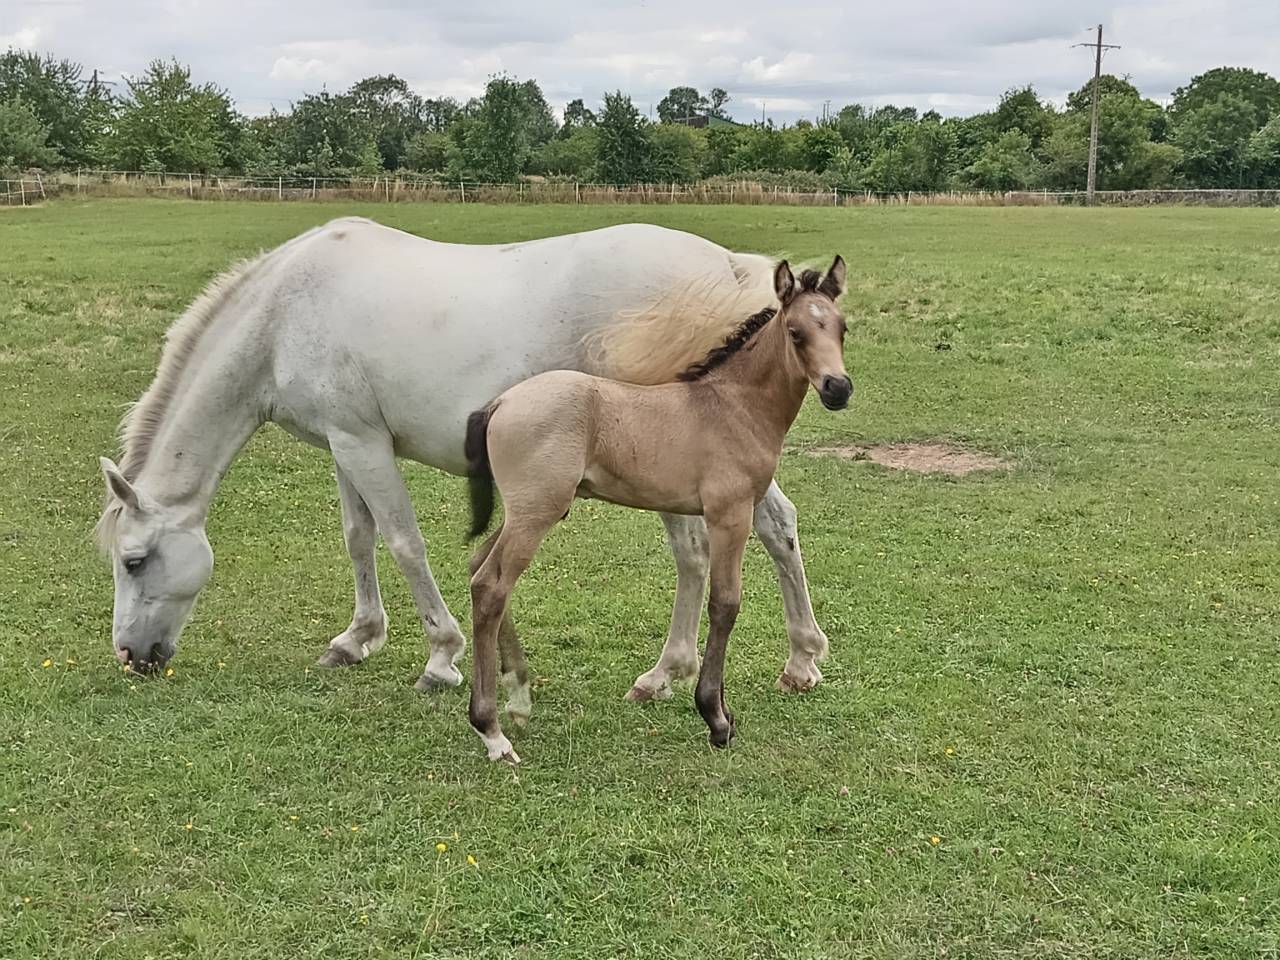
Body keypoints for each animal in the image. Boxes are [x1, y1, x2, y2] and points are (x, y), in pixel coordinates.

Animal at [95, 219, 833, 700]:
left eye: (133, 561)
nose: (131, 655)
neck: (284, 314)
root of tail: (734, 269)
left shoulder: (363, 444)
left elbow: (403, 542)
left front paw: (441, 657)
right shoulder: (344, 442)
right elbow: (358, 537)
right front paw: (357, 638)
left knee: (699, 551)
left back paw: (670, 672)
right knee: (777, 527)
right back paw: (800, 659)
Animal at [463, 256, 850, 763]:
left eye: (842, 328)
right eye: (796, 332)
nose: (838, 388)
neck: (733, 405)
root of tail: (501, 402)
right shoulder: (729, 513)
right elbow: (726, 603)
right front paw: (716, 718)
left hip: (523, 514)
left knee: (478, 570)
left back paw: (517, 698)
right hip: (535, 514)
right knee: (491, 587)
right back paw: (492, 731)